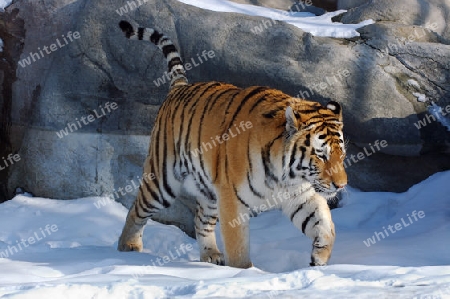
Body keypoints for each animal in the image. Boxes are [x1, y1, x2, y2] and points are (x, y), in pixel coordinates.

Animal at [117, 21, 348, 270]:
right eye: (321, 155)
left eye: (342, 155)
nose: (341, 185)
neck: (285, 174)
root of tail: (179, 87)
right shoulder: (232, 198)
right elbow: (237, 246)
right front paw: (245, 273)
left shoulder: (299, 194)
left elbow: (325, 224)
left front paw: (319, 258)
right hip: (162, 181)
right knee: (137, 210)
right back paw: (127, 249)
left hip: (208, 191)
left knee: (200, 220)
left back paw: (211, 256)